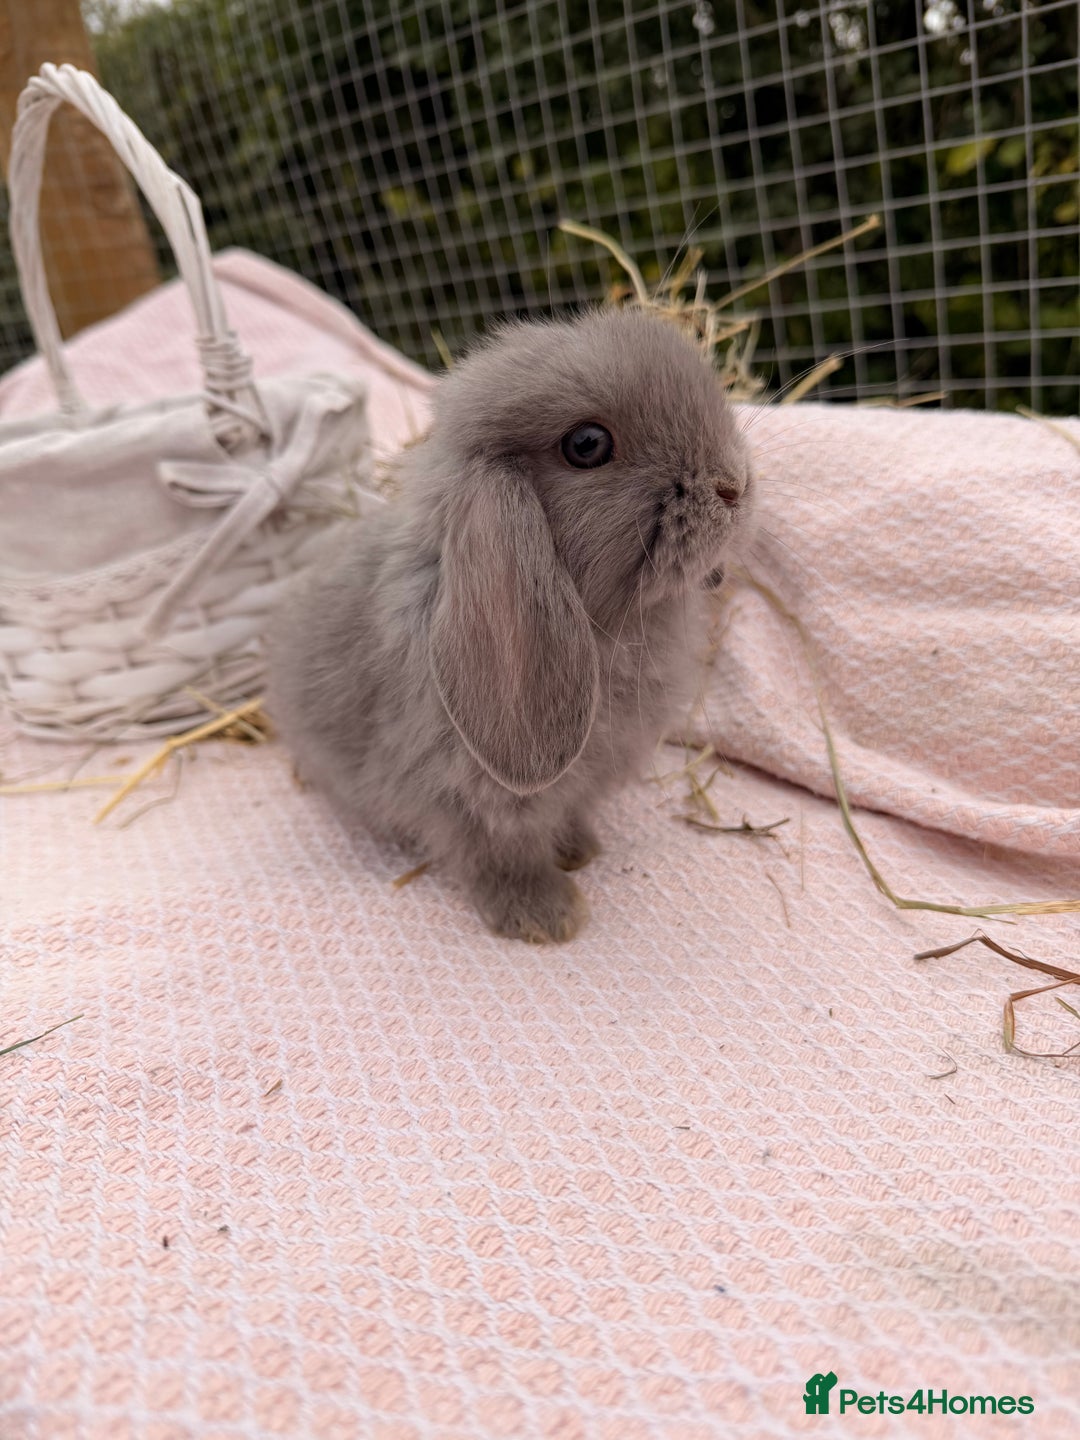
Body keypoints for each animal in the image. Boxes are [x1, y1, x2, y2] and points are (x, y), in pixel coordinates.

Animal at [269, 306, 754, 942]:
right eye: (587, 445)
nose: (734, 485)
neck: (601, 625)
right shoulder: (473, 798)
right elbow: (501, 855)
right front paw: (547, 918)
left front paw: (580, 852)